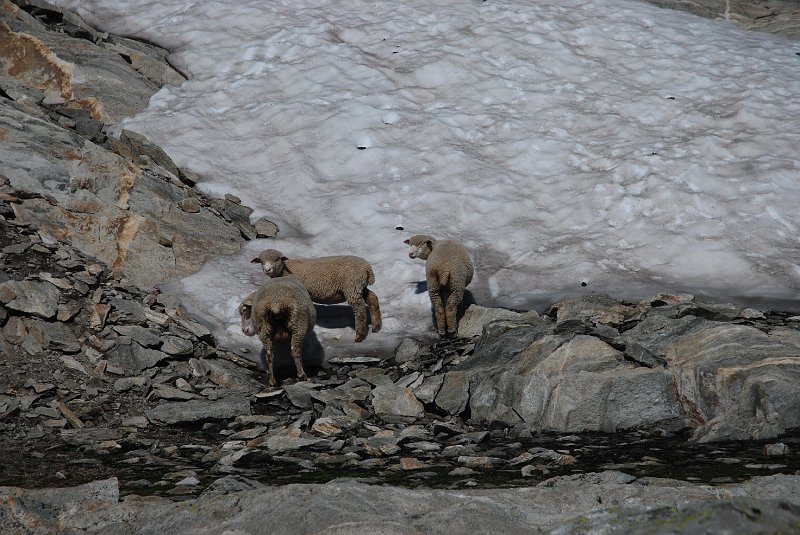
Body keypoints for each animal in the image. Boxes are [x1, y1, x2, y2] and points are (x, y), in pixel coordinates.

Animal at [253, 250, 384, 344]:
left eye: (277, 259)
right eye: (261, 261)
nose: (267, 269)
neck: (284, 271)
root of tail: (367, 268)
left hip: (352, 286)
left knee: (360, 310)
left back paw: (359, 336)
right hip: (359, 287)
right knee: (372, 299)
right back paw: (376, 327)